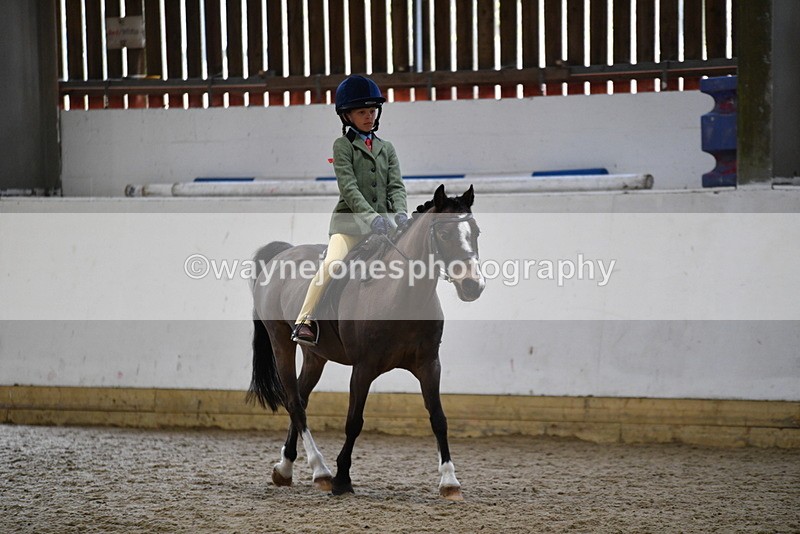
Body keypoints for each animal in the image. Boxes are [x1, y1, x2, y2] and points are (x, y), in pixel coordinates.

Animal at [247, 184, 485, 500]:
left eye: (476, 232)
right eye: (444, 234)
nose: (473, 285)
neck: (401, 295)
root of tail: (283, 253)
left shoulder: (429, 365)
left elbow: (438, 418)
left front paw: (449, 481)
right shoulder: (363, 368)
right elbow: (354, 422)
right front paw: (342, 480)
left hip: (315, 356)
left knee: (301, 398)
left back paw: (285, 468)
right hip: (281, 342)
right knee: (294, 402)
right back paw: (320, 471)